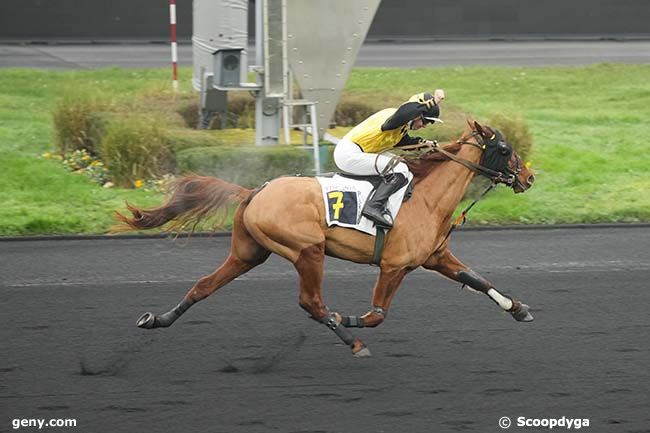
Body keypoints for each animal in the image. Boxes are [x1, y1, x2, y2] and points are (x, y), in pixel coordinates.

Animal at [115, 120, 532, 356]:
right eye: (505, 148)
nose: (528, 177)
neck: (427, 199)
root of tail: (255, 191)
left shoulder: (435, 257)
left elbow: (477, 280)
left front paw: (518, 308)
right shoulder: (394, 266)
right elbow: (376, 315)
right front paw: (348, 320)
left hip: (249, 252)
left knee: (203, 285)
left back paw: (157, 319)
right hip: (307, 250)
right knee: (312, 303)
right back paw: (351, 341)